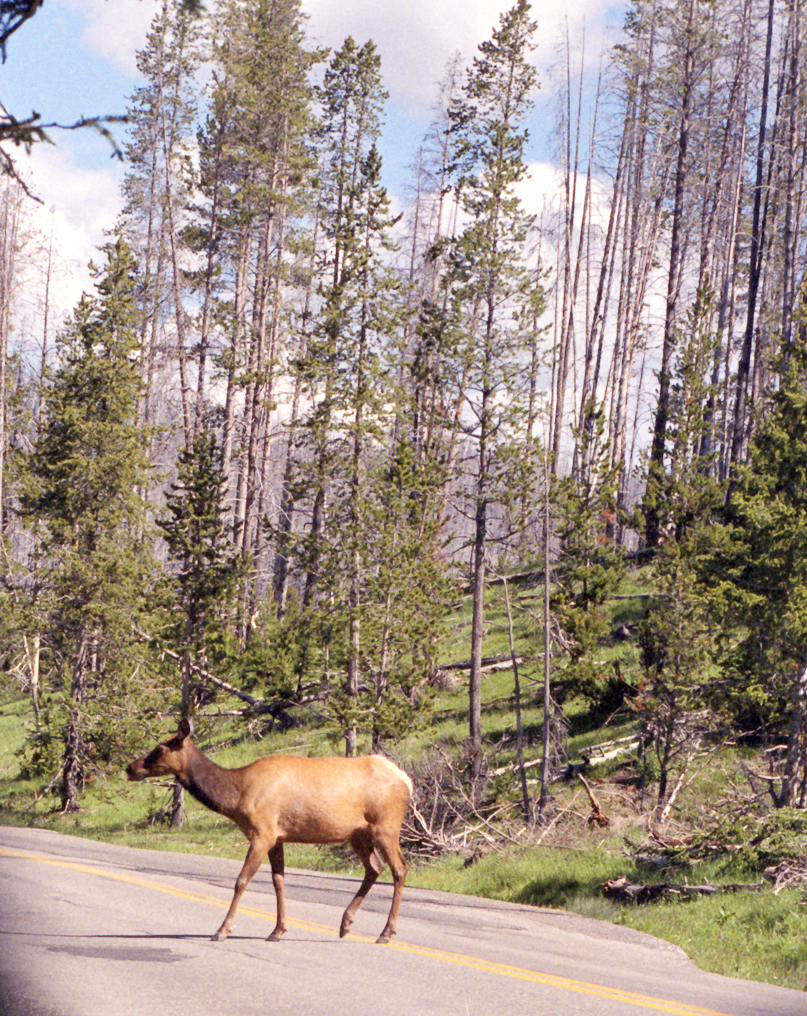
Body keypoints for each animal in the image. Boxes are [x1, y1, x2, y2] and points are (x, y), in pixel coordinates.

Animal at [125, 717, 412, 944]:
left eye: (159, 748)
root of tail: (407, 780)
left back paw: (385, 933)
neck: (236, 794)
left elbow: (242, 880)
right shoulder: (277, 837)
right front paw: (278, 930)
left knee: (399, 868)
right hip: (358, 834)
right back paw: (345, 923)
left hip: (385, 827)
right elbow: (278, 881)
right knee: (375, 867)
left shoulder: (261, 834)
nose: (130, 767)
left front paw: (222, 930)